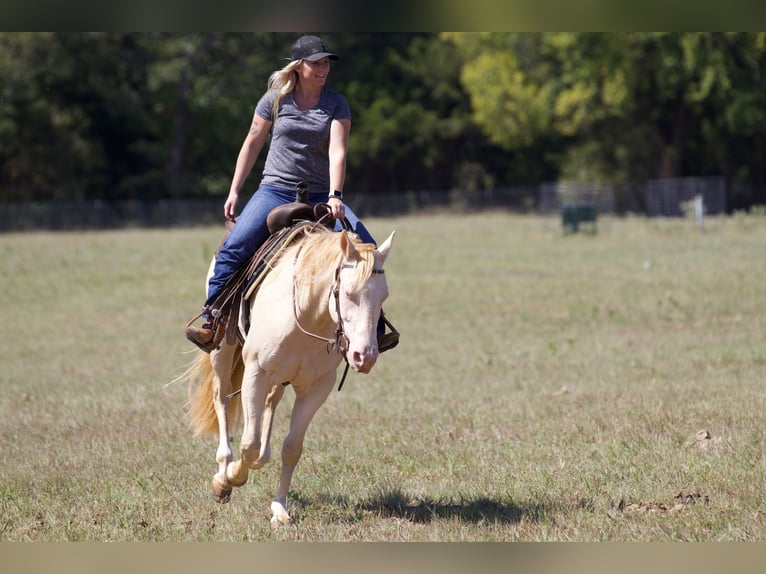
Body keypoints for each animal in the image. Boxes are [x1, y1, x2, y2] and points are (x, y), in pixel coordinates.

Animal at [186, 225, 396, 528]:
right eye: (348, 292)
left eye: (384, 296)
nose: (364, 356)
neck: (308, 316)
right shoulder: (256, 372)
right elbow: (248, 444)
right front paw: (231, 477)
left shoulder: (317, 387)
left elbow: (292, 448)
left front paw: (279, 509)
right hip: (222, 353)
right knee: (222, 399)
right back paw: (223, 471)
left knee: (270, 404)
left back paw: (263, 458)